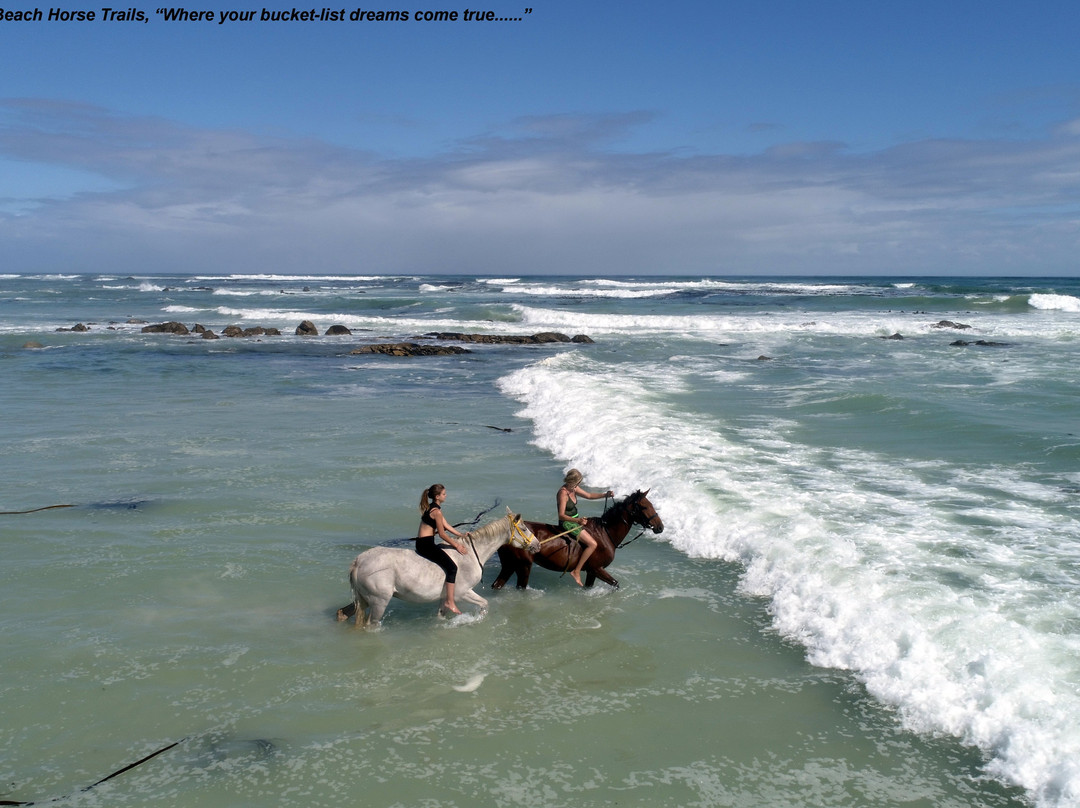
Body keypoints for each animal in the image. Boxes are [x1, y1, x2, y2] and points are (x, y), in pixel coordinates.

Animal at [343, 508, 540, 627]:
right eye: (524, 528)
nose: (537, 545)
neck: (470, 554)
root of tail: (358, 561)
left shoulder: (444, 597)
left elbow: (441, 616)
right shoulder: (462, 592)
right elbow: (484, 604)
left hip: (363, 600)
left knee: (344, 613)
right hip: (379, 602)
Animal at [491, 490, 663, 590]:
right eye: (645, 507)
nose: (660, 527)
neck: (605, 533)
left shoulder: (592, 571)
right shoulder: (596, 568)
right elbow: (615, 583)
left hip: (510, 565)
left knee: (497, 585)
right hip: (523, 565)